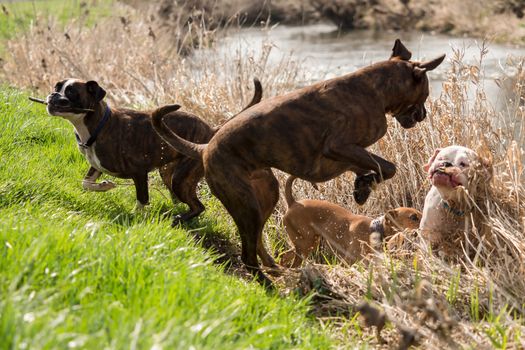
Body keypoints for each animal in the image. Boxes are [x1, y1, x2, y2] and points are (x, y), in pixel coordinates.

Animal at [278, 176, 422, 266]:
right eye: (413, 217)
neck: (375, 229)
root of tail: (293, 203)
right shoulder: (347, 261)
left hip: (308, 243)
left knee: (283, 256)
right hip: (305, 244)